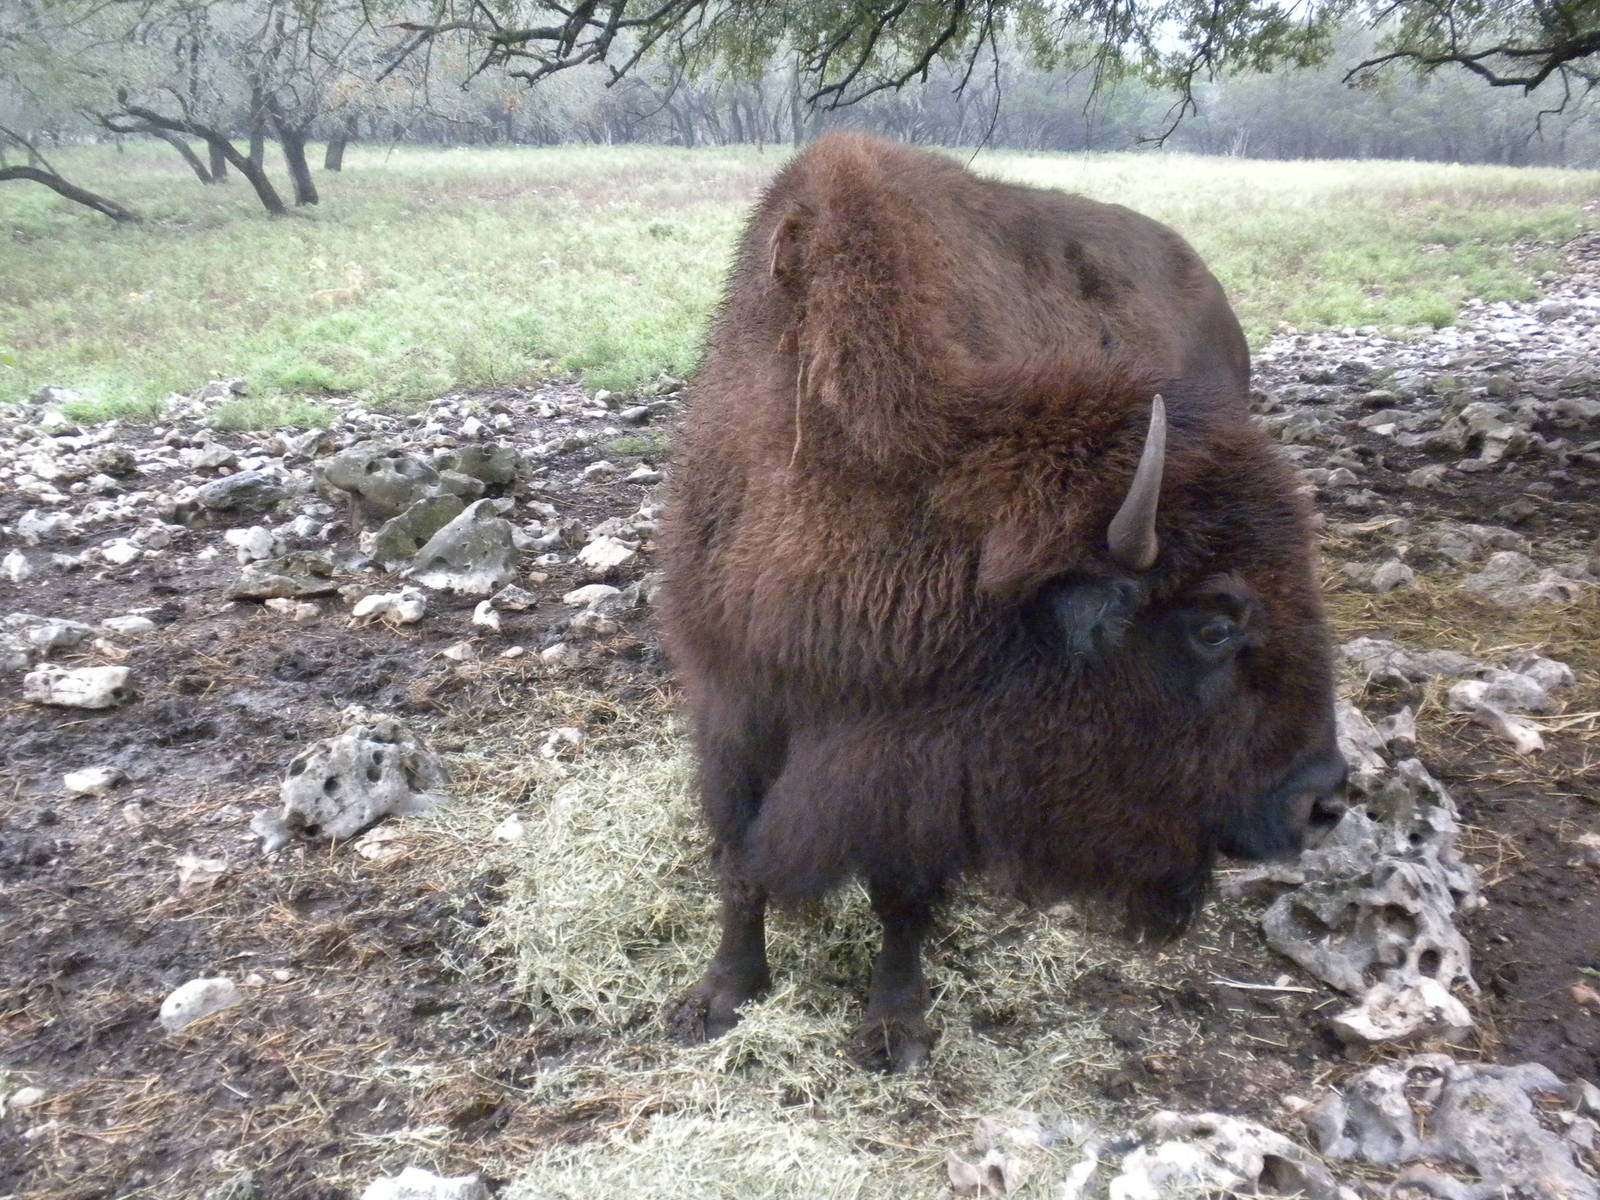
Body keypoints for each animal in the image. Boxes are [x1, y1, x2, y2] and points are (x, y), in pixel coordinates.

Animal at [659, 133, 1345, 1071]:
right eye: (1214, 624)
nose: (1324, 800)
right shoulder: (733, 699)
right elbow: (736, 858)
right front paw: (720, 996)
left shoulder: (916, 766)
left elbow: (899, 892)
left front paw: (896, 1029)